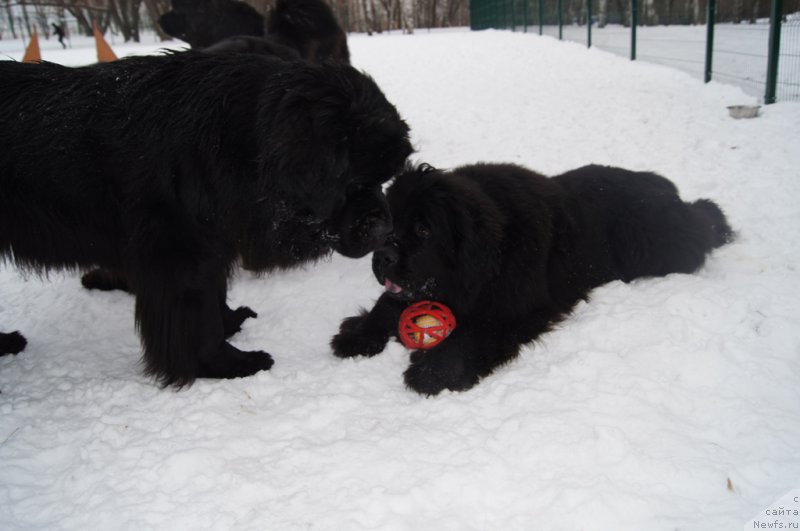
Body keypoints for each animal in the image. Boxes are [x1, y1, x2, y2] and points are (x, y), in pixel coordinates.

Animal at [0, 51, 412, 386]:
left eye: (383, 180)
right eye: (354, 181)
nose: (386, 227)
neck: (232, 145)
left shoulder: (214, 244)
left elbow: (216, 297)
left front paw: (231, 324)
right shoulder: (181, 256)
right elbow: (198, 318)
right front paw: (227, 364)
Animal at [330, 164, 732, 396]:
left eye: (423, 230)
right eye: (389, 225)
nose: (382, 256)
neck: (485, 259)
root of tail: (661, 185)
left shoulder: (515, 307)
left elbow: (472, 333)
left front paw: (434, 370)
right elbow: (388, 304)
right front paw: (358, 334)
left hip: (656, 247)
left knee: (698, 227)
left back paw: (717, 219)